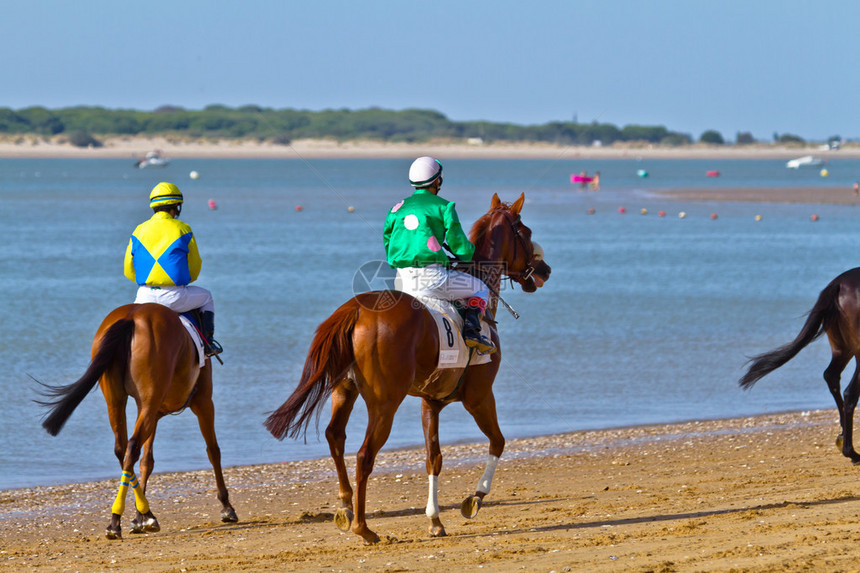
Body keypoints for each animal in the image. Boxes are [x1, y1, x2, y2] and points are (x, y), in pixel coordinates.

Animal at [266, 192, 556, 540]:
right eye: (525, 232)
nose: (545, 269)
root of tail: (356, 310)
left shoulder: (431, 402)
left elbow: (434, 457)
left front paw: (435, 519)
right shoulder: (480, 396)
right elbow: (497, 441)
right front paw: (474, 498)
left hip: (344, 390)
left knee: (335, 437)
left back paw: (347, 506)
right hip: (385, 402)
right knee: (364, 454)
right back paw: (364, 528)